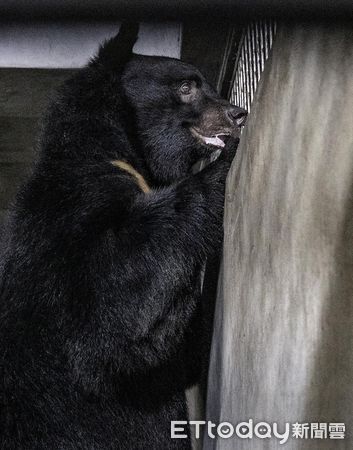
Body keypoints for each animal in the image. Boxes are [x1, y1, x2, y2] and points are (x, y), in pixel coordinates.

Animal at [0, 24, 246, 450]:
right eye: (186, 87)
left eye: (208, 86)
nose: (238, 113)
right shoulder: (74, 214)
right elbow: (114, 310)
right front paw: (221, 164)